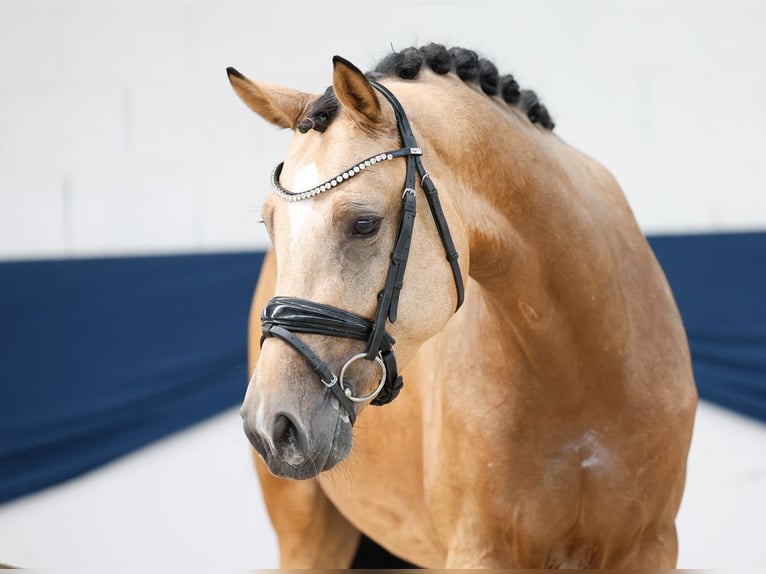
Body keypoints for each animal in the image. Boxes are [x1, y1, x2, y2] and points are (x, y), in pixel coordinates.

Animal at [227, 45, 697, 568]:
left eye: (364, 224)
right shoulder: (480, 553)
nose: (271, 425)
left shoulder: (651, 548)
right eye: (270, 224)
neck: (584, 373)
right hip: (307, 536)